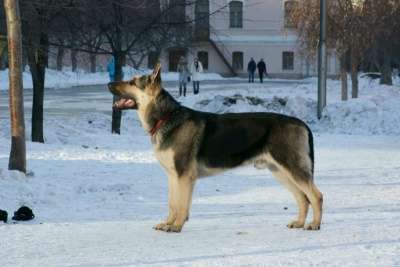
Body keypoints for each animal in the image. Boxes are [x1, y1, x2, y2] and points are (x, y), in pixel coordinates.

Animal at [108, 63, 324, 233]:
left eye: (132, 82)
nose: (109, 84)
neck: (166, 117)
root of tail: (302, 123)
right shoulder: (173, 177)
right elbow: (172, 204)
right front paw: (168, 223)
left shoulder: (184, 177)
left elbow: (181, 205)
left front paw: (176, 226)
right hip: (281, 172)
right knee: (303, 198)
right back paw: (299, 223)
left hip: (292, 170)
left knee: (316, 196)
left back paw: (314, 224)